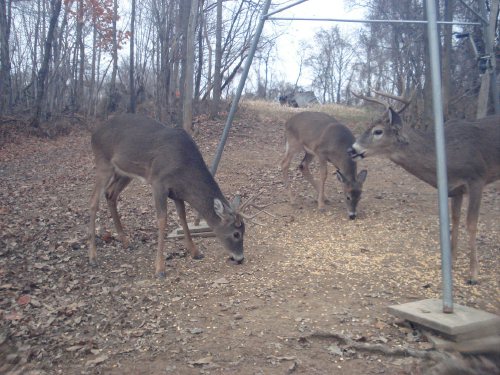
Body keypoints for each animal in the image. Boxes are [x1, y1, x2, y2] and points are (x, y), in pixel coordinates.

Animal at [88, 113, 256, 278]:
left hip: (124, 172)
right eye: (236, 234)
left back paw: (126, 242)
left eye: (244, 231)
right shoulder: (159, 182)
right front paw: (159, 269)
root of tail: (94, 132)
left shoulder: (177, 192)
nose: (240, 258)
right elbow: (162, 220)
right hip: (103, 162)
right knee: (94, 201)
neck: (184, 166)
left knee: (110, 194)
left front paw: (195, 252)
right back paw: (93, 257)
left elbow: (182, 216)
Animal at [348, 90, 500, 284]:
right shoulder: (455, 188)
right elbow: (455, 220)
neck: (447, 155)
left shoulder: (477, 179)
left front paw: (473, 274)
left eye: (378, 131)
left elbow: (471, 223)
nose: (352, 149)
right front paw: (451, 262)